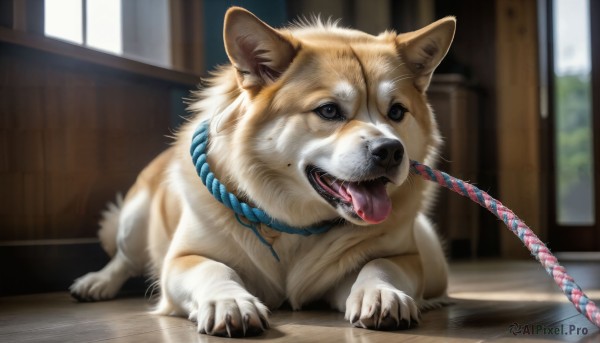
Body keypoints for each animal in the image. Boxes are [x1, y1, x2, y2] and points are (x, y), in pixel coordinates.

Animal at [70, 6, 454, 338]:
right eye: (329, 111)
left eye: (397, 112)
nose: (389, 151)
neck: (293, 223)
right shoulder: (182, 259)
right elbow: (214, 268)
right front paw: (229, 300)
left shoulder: (403, 257)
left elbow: (379, 265)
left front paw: (380, 292)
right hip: (134, 220)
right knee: (124, 259)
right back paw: (96, 283)